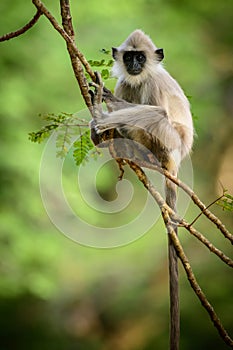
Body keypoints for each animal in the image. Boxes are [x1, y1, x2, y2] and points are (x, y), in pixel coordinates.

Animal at [90, 28, 194, 348]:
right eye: (129, 57)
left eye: (140, 57)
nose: (134, 65)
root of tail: (176, 158)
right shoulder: (127, 80)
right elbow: (126, 87)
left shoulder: (153, 82)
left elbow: (157, 108)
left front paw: (104, 99)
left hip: (167, 141)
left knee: (155, 114)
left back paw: (104, 120)